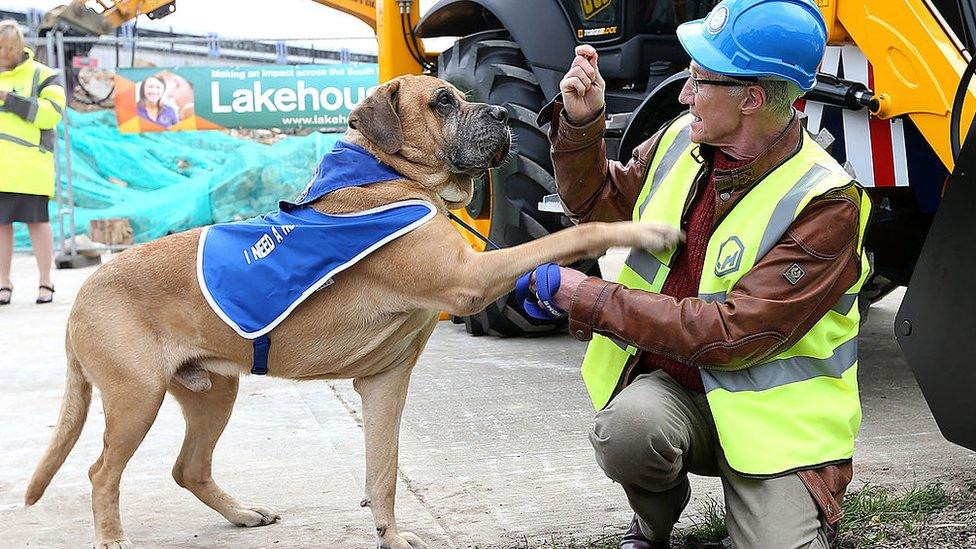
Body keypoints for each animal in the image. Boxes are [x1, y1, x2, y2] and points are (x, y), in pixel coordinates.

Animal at [22, 74, 680, 548]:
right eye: (444, 100)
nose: (501, 115)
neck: (392, 175)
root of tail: (84, 294)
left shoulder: (386, 381)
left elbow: (383, 473)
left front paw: (391, 536)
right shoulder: (467, 277)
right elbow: (568, 234)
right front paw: (642, 229)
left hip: (211, 392)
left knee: (189, 468)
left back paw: (241, 514)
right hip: (137, 397)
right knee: (102, 474)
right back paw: (114, 539)